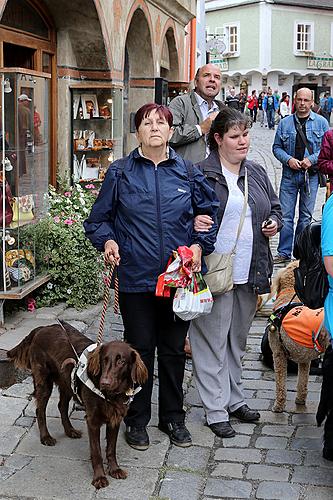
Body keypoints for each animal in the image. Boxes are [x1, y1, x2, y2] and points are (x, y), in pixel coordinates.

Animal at [6, 320, 147, 488]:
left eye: (121, 361)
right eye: (104, 360)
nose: (104, 382)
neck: (111, 395)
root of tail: (43, 328)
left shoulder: (115, 418)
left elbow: (111, 449)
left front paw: (115, 470)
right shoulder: (92, 420)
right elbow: (97, 451)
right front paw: (99, 478)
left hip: (67, 381)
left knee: (61, 406)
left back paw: (70, 431)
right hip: (44, 381)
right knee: (40, 410)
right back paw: (46, 437)